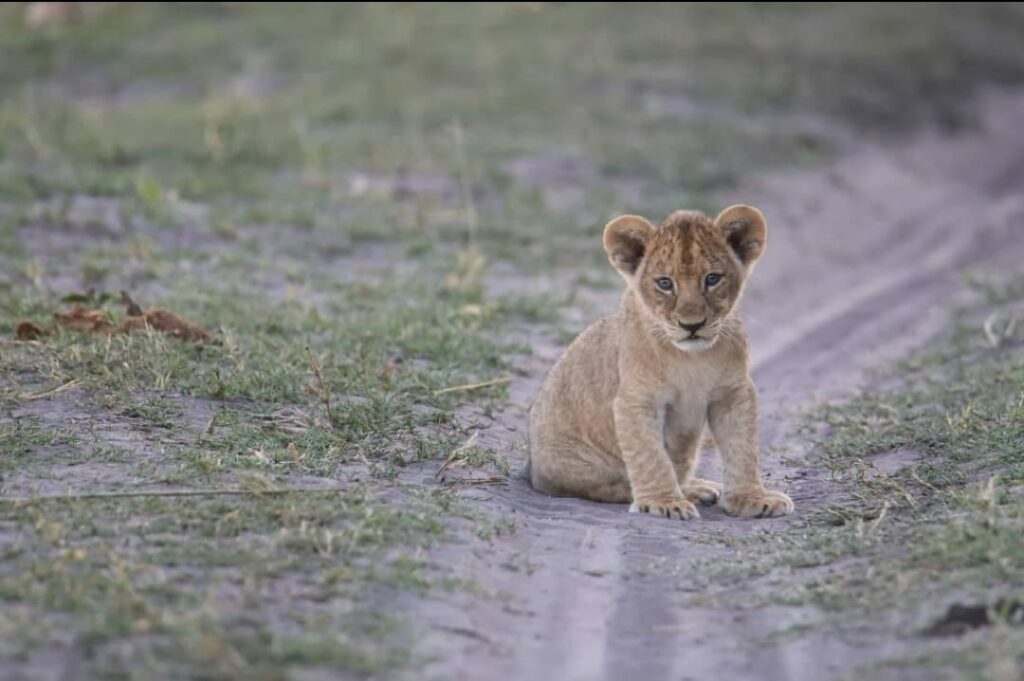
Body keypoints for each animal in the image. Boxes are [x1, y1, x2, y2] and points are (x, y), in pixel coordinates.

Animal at [527, 205, 793, 520]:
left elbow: (743, 448)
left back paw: (699, 488)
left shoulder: (733, 393)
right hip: (577, 462)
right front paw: (664, 502)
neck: (691, 358)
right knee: (607, 487)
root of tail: (531, 470)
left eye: (712, 279)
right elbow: (650, 455)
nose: (692, 325)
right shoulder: (637, 399)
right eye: (665, 283)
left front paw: (752, 498)